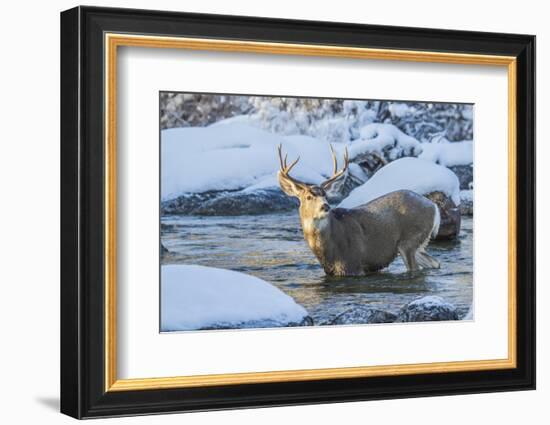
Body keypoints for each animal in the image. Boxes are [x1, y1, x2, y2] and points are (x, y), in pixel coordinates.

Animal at [278, 144, 442, 274]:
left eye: (326, 195)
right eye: (308, 197)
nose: (326, 206)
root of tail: (434, 207)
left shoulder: (353, 264)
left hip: (409, 240)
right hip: (417, 244)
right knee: (435, 263)